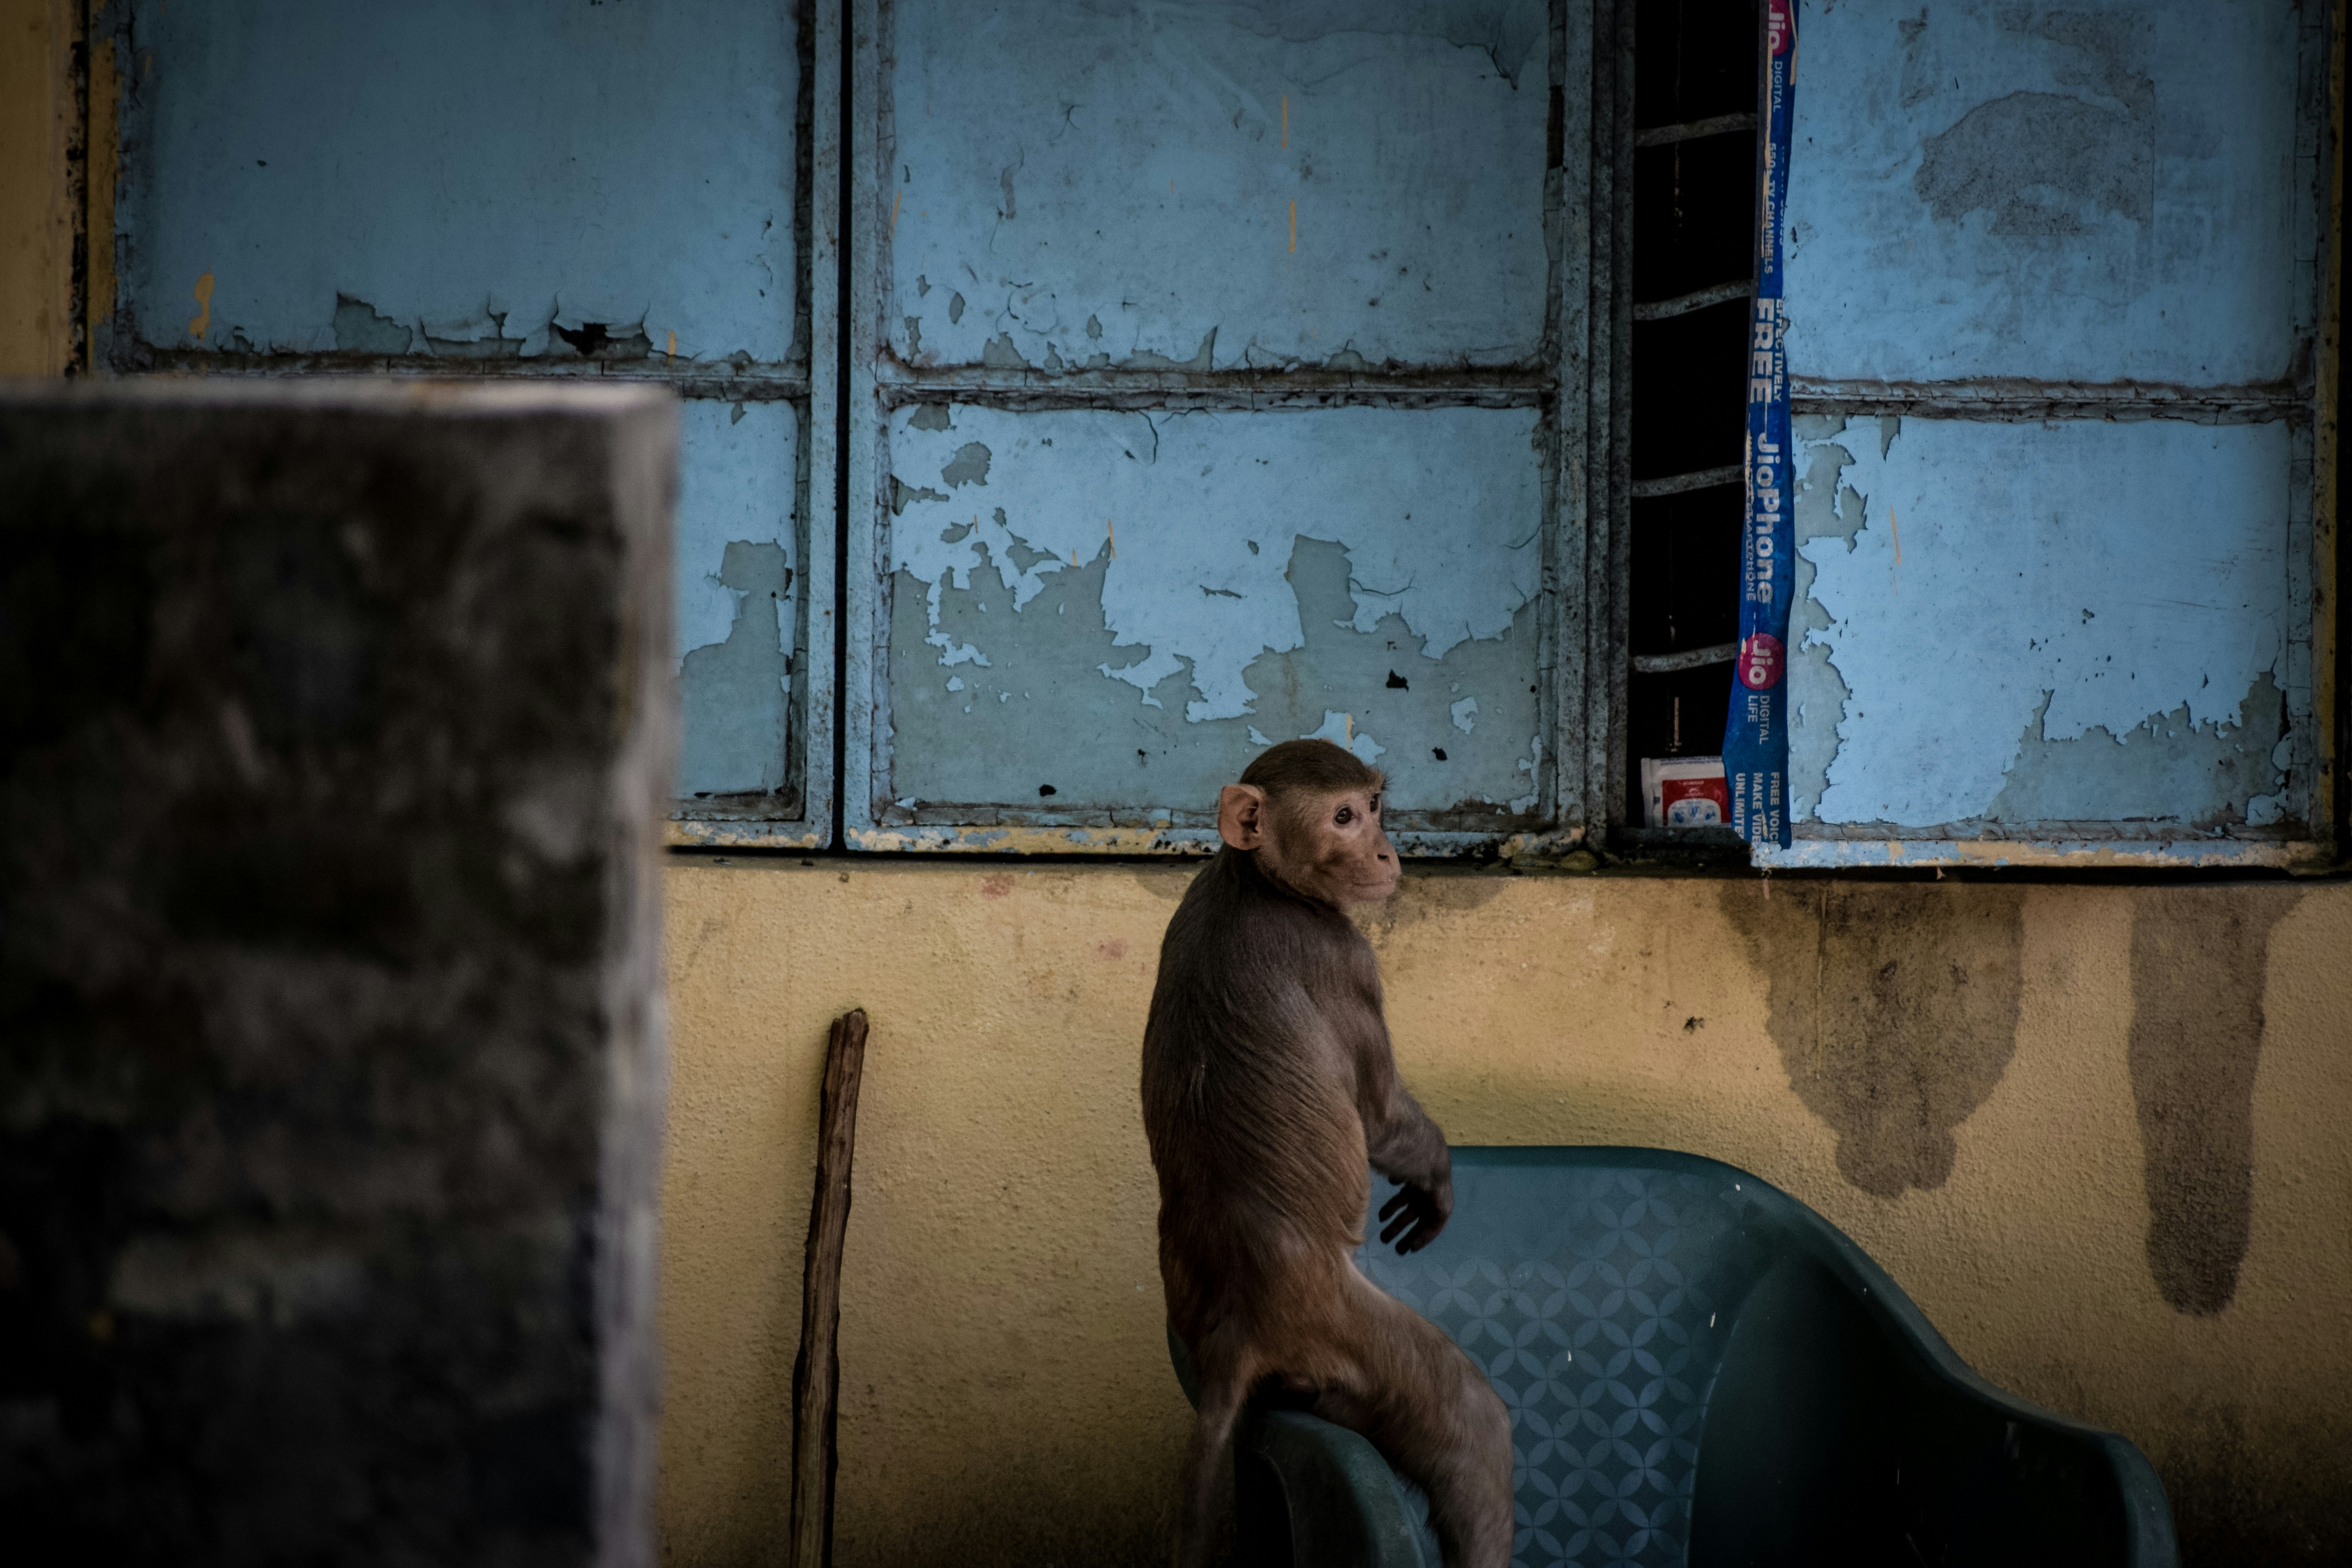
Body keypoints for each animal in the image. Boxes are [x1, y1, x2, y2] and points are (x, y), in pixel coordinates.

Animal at [1141, 738, 1514, 1568]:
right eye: (1343, 817)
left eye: (1373, 806)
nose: (1385, 849)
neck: (1254, 880)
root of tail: (1237, 1329)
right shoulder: (1344, 959)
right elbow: (1376, 1115)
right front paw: (1434, 1173)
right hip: (1342, 1336)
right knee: (1467, 1420)